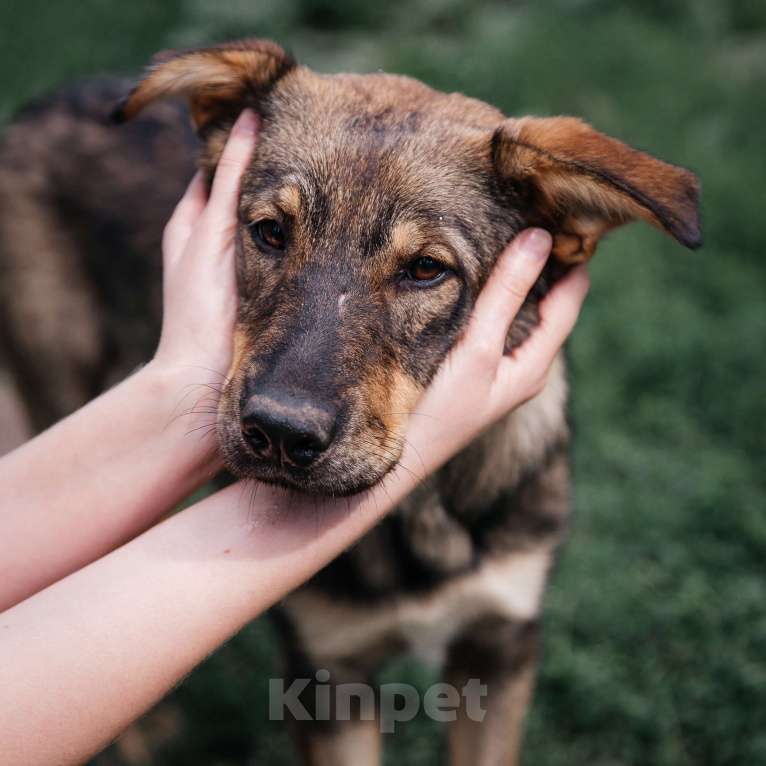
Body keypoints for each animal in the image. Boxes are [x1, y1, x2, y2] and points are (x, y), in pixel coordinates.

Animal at [0, 37, 704, 766]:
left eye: (425, 269)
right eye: (270, 232)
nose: (280, 433)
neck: (420, 521)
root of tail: (43, 101)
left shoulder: (500, 643)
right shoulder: (325, 674)